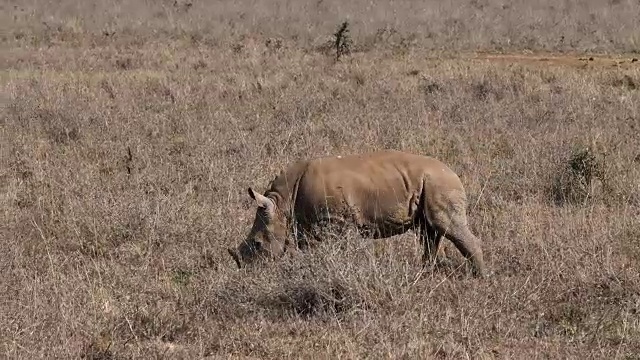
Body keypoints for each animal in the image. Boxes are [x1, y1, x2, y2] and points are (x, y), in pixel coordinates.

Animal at [229, 148, 484, 276]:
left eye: (258, 244)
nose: (247, 273)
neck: (282, 203)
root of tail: (453, 172)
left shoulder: (336, 222)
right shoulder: (307, 226)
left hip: (440, 184)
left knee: (445, 226)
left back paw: (479, 276)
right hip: (430, 184)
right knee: (428, 232)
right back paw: (425, 273)